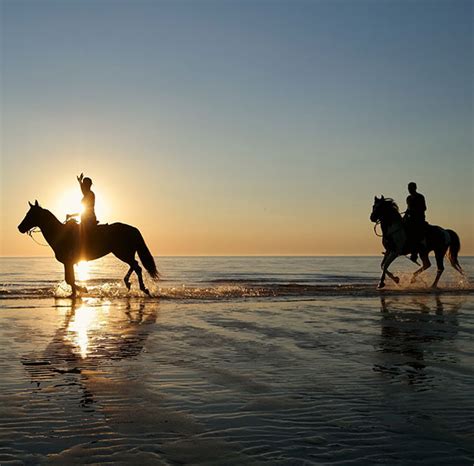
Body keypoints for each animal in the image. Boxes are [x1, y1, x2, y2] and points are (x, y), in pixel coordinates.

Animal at [18, 199, 159, 294]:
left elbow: (69, 280)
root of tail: (132, 229)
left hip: (122, 253)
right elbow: (70, 279)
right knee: (134, 265)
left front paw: (83, 289)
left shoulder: (68, 262)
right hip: (125, 253)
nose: (19, 227)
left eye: (30, 214)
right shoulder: (68, 263)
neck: (60, 234)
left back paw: (143, 288)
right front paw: (75, 294)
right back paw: (129, 283)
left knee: (136, 266)